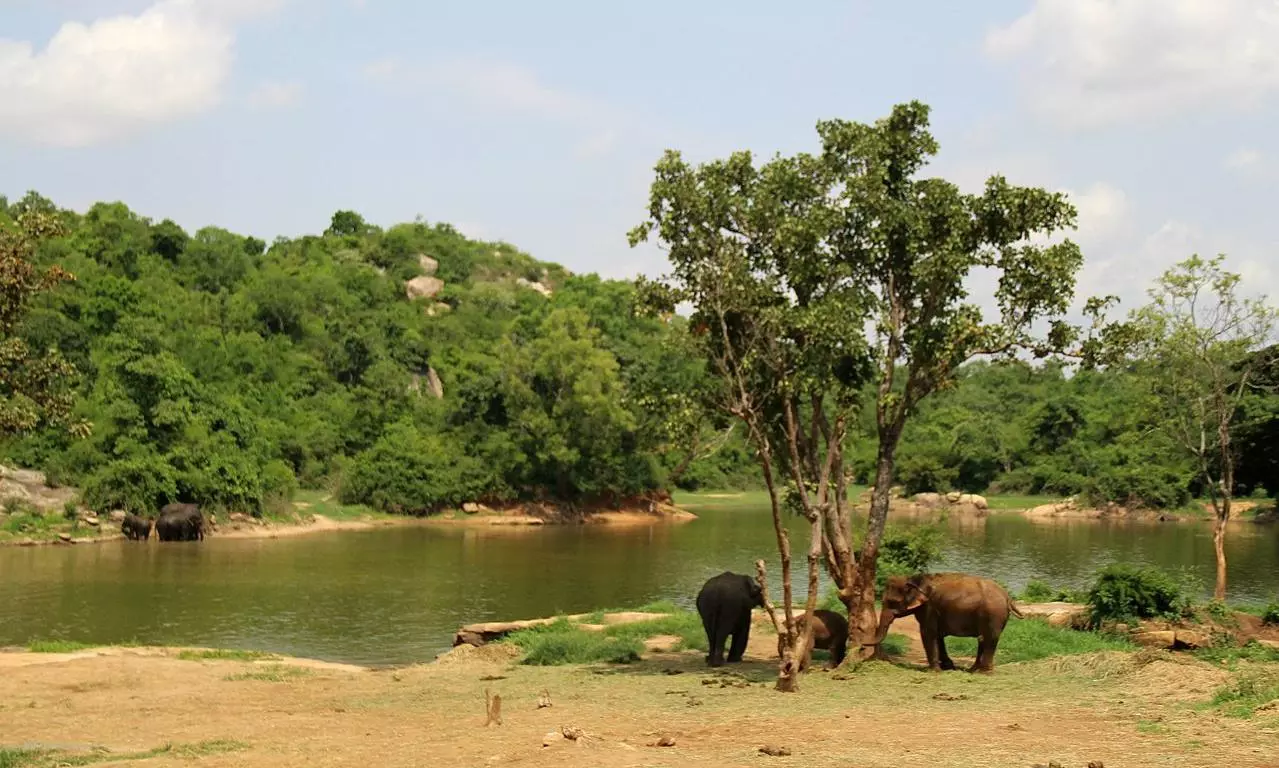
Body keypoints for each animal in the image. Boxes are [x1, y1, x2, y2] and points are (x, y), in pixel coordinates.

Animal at [874, 570, 1023, 670]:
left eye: (892, 602)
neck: (914, 579)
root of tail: (1007, 596)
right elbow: (938, 636)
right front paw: (948, 666)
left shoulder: (929, 608)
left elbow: (927, 633)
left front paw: (934, 671)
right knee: (983, 638)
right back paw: (974, 670)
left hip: (993, 614)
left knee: (989, 637)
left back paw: (984, 672)